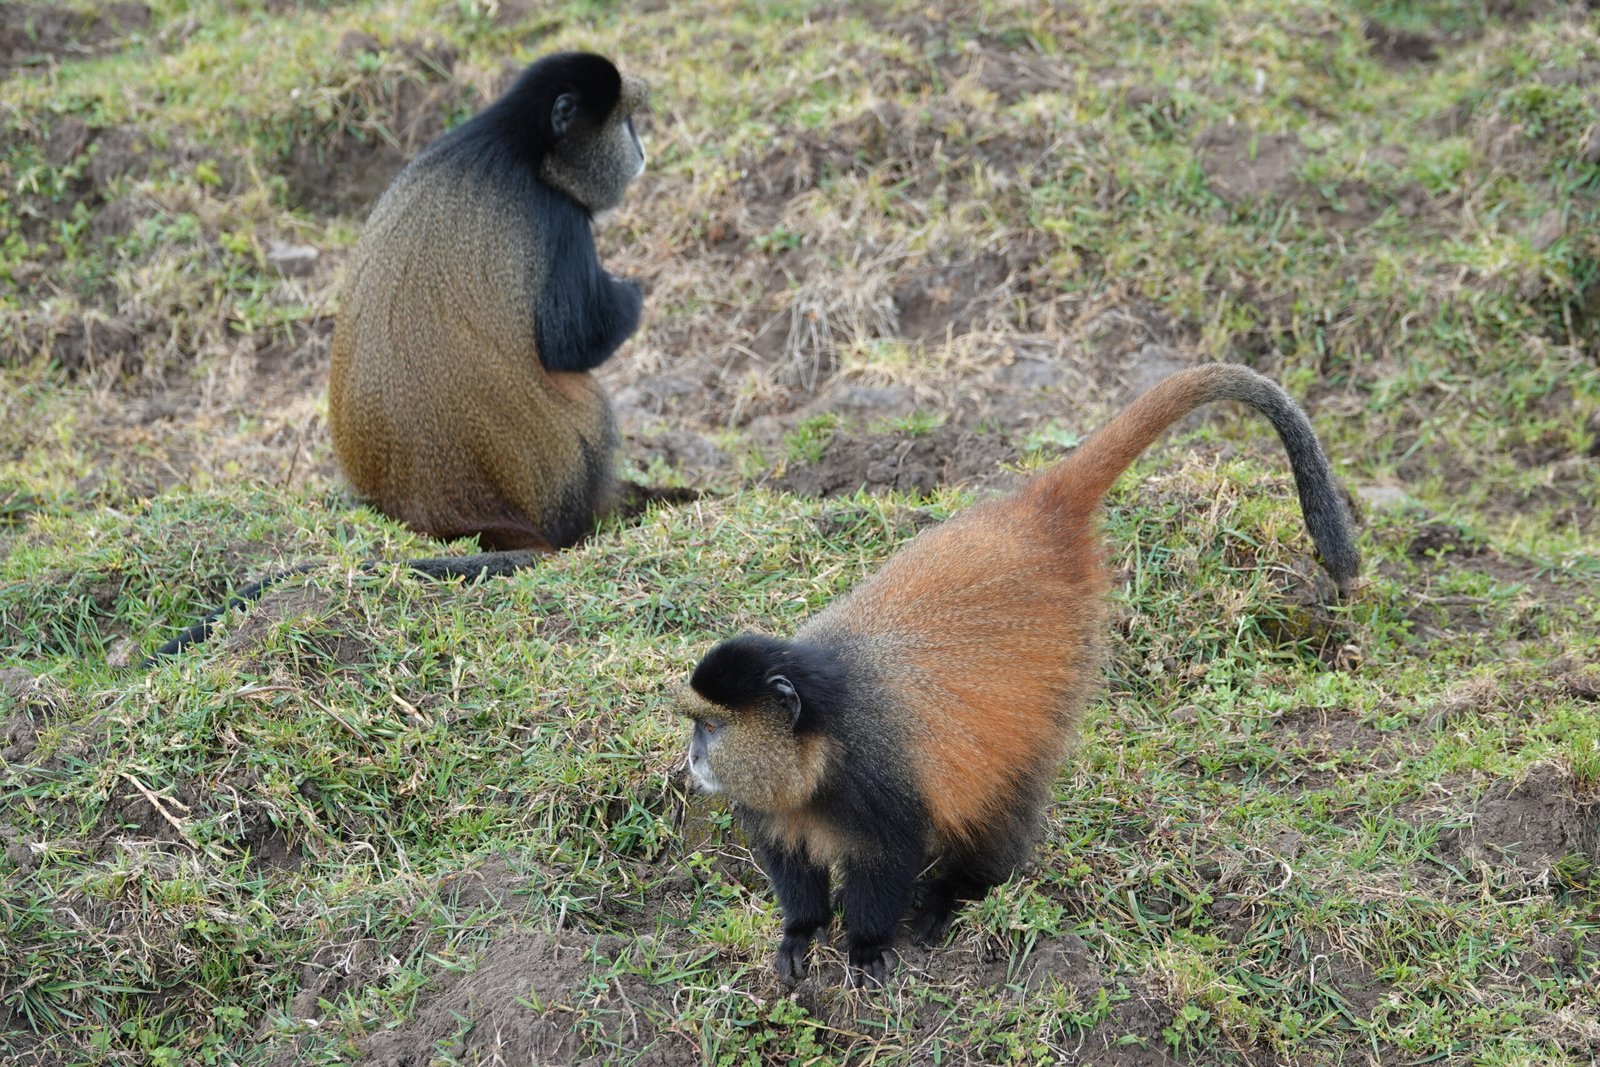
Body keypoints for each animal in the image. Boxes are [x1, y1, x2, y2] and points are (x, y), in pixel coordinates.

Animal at [328, 50, 649, 552]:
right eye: (624, 122)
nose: (641, 153)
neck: (519, 144)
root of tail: (428, 510)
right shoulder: (560, 219)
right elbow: (569, 342)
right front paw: (631, 295)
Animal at [676, 363, 1360, 988]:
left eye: (709, 727)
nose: (693, 759)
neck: (821, 740)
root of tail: (1037, 514)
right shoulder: (773, 807)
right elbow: (793, 871)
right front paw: (801, 932)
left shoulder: (879, 782)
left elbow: (888, 865)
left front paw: (868, 945)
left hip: (1062, 664)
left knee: (1004, 796)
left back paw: (962, 888)